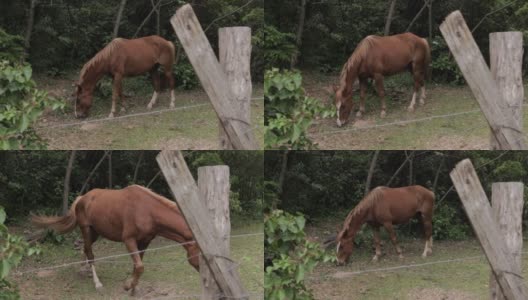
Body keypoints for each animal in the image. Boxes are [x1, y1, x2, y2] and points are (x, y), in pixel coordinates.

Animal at [31, 185, 200, 296]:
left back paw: (83, 269)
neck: (147, 210)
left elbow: (138, 265)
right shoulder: (129, 240)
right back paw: (97, 283)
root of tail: (82, 198)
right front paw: (127, 286)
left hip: (95, 233)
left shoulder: (145, 242)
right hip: (86, 229)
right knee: (91, 254)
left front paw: (133, 288)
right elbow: (140, 266)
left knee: (85, 248)